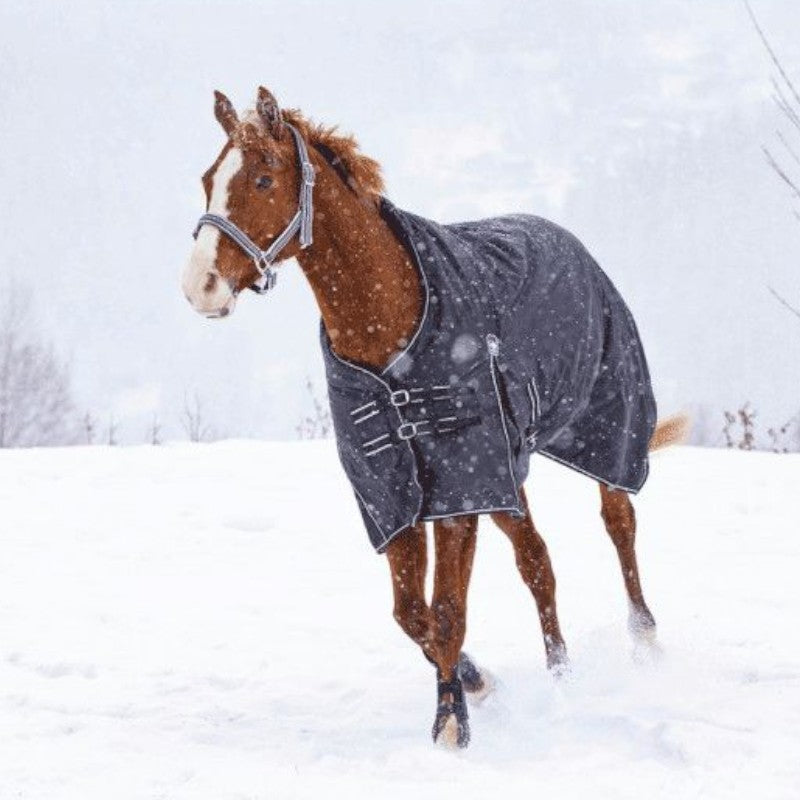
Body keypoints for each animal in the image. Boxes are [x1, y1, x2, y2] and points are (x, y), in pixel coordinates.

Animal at [183, 87, 688, 752]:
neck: (390, 320)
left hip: (603, 429)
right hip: (509, 476)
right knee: (538, 564)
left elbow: (446, 610)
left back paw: (644, 641)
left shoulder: (459, 481)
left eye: (263, 179)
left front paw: (451, 721)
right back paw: (561, 674)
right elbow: (410, 613)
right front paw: (476, 681)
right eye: (208, 180)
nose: (201, 287)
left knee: (619, 521)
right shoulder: (393, 487)